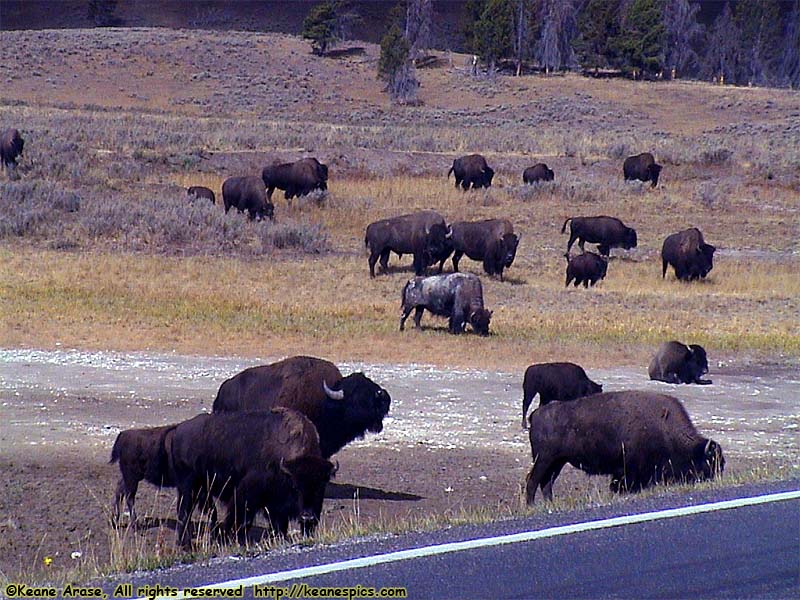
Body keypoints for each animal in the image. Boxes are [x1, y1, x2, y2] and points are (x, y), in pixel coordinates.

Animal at [170, 410, 336, 548]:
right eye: (296, 487)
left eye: (321, 486)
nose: (307, 517)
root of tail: (178, 431)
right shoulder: (247, 495)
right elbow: (239, 517)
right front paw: (229, 540)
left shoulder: (276, 505)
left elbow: (277, 524)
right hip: (187, 487)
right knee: (184, 512)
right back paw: (185, 544)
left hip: (201, 489)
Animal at [524, 390, 724, 502]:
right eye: (710, 462)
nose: (717, 479)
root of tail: (536, 414)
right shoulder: (628, 470)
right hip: (544, 459)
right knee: (533, 481)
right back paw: (531, 505)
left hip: (558, 462)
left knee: (546, 483)